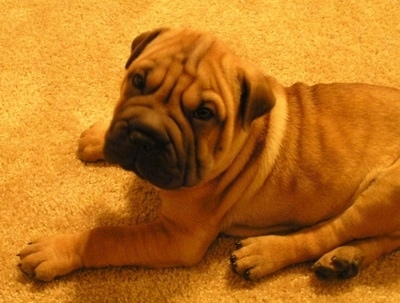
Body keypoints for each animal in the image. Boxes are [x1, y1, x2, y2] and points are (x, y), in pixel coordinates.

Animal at [17, 28, 398, 282]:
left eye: (204, 114)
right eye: (138, 81)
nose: (144, 134)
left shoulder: (177, 237)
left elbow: (107, 236)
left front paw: (55, 250)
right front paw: (98, 137)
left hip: (383, 191)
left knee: (328, 231)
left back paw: (265, 253)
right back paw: (344, 260)